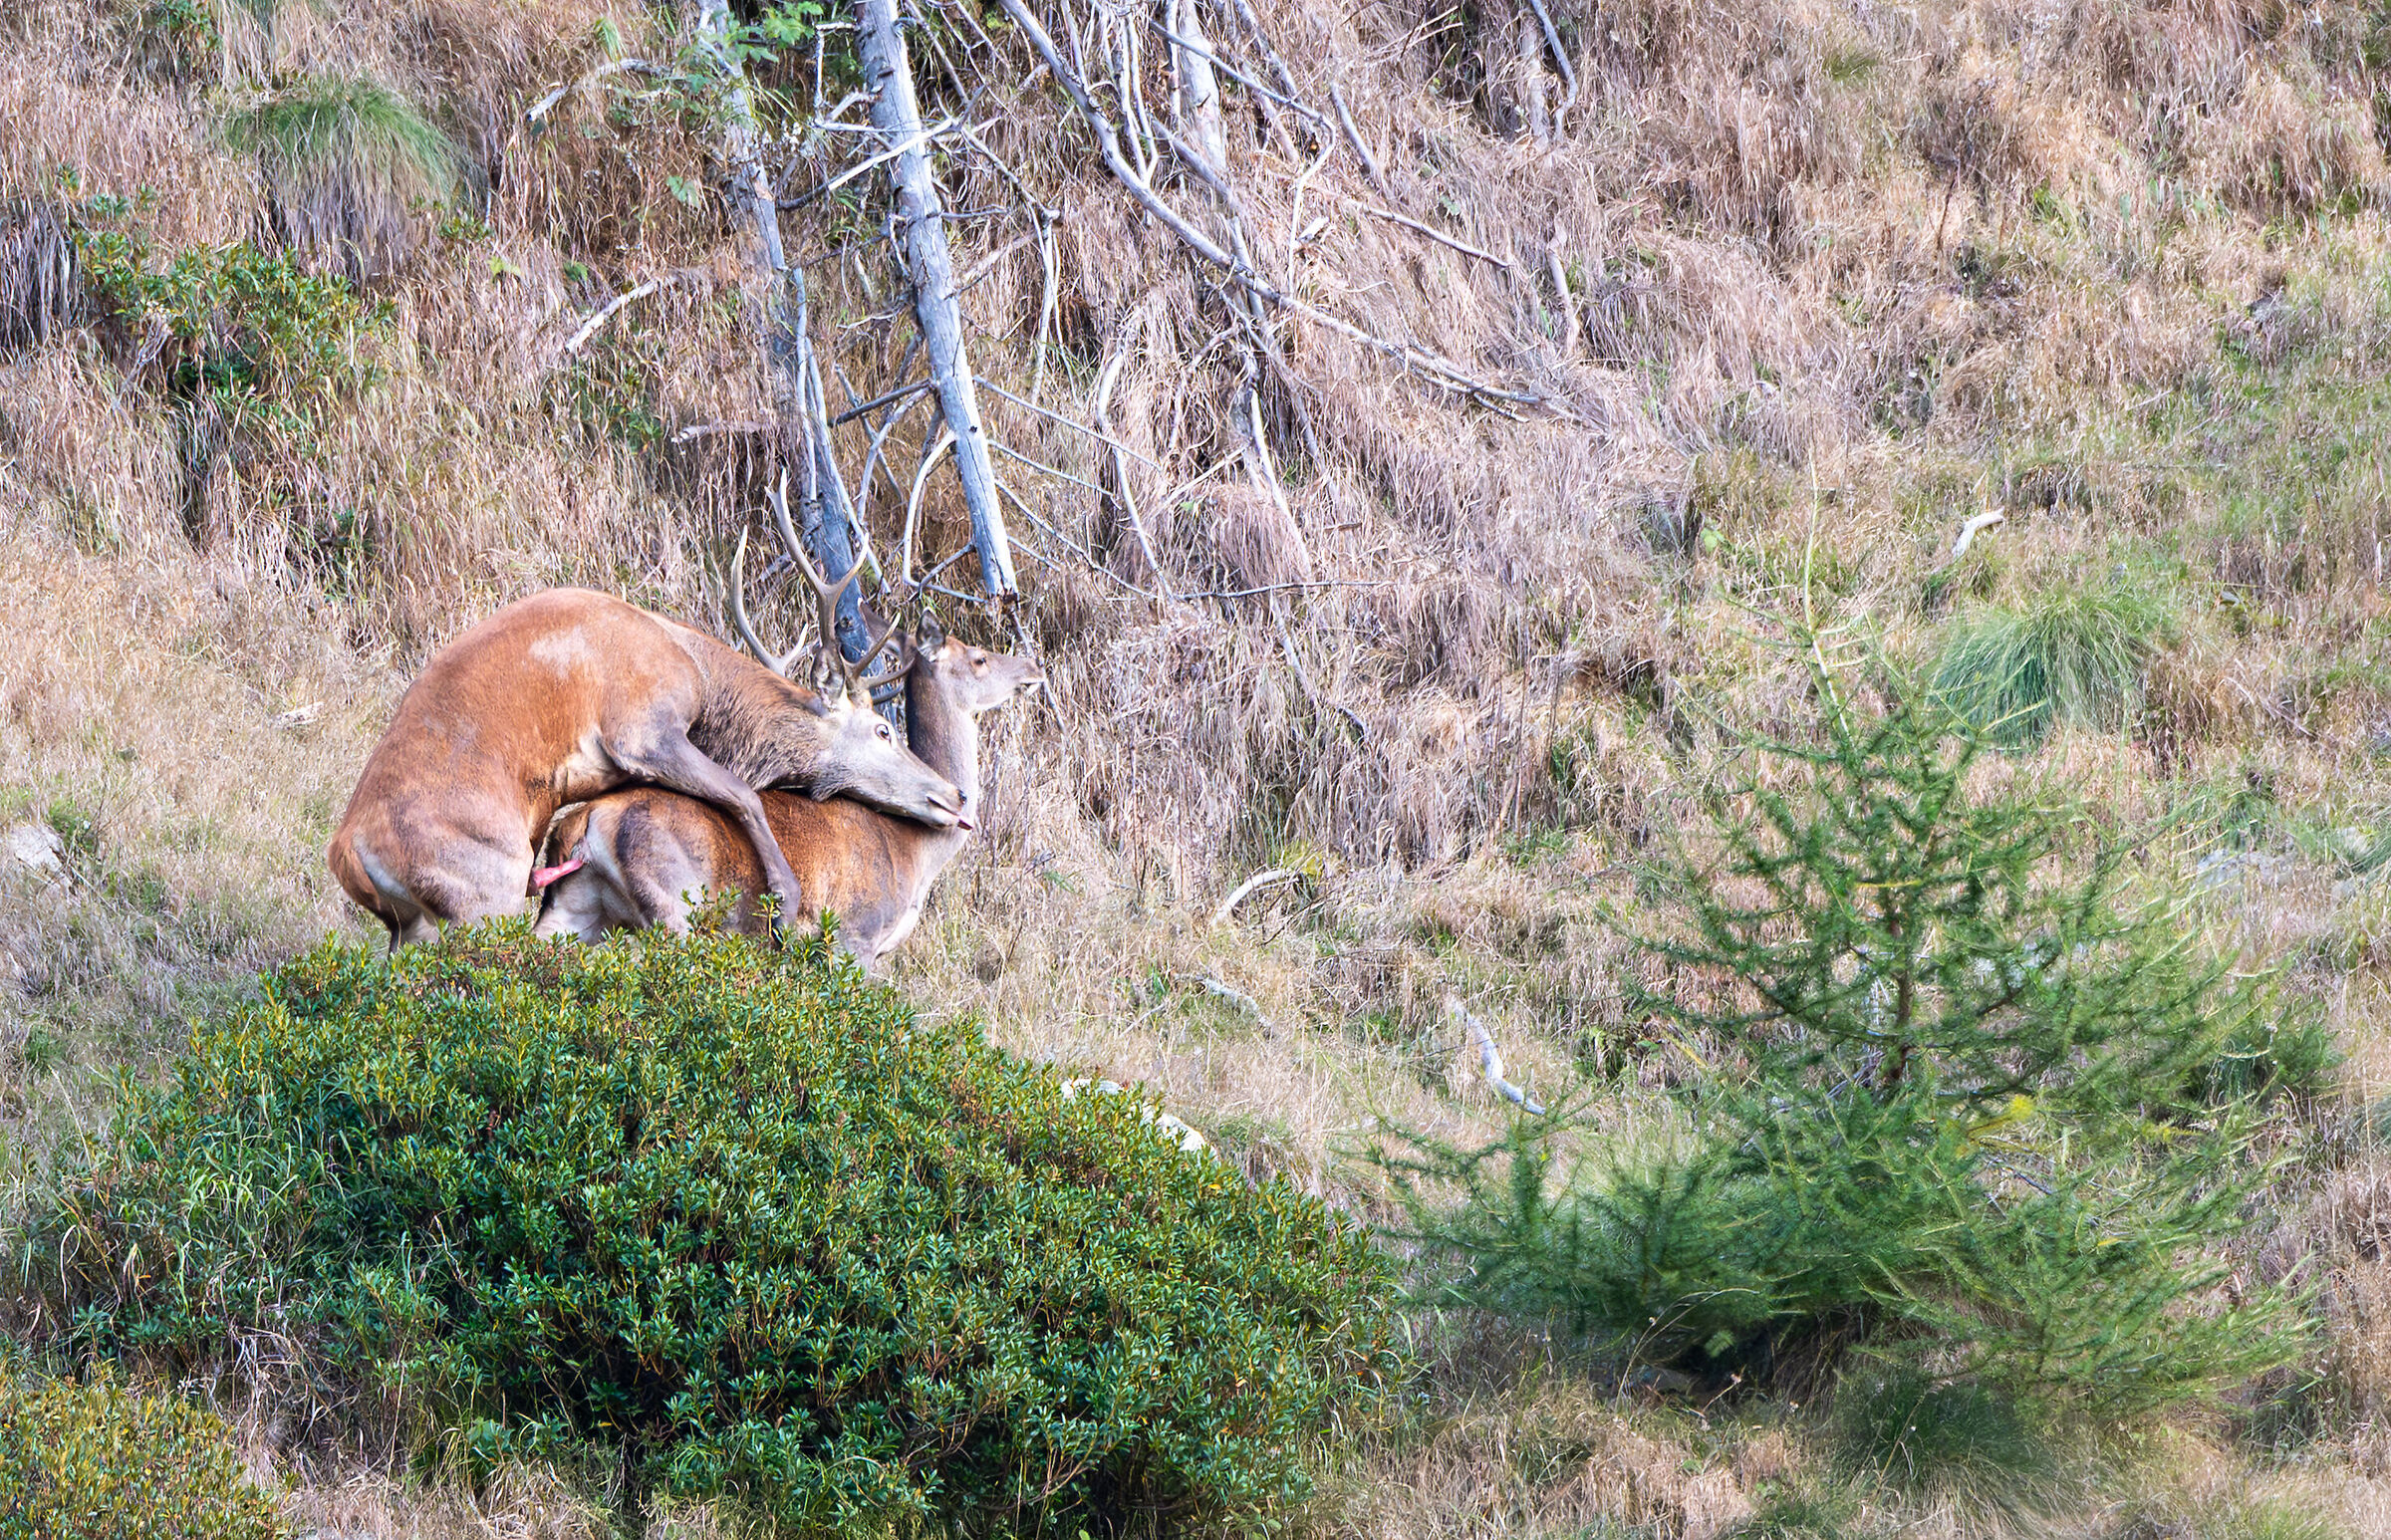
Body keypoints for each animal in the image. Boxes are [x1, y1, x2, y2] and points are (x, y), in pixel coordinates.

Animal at [328, 479, 962, 950]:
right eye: (883, 728)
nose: (951, 796)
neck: (700, 674)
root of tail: (347, 858)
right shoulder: (643, 729)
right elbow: (744, 795)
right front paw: (784, 903)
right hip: (483, 892)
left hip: (412, 926)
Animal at [532, 613, 1043, 970]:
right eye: (979, 656)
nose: (1033, 667)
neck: (915, 850)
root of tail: (588, 822)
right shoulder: (855, 934)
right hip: (674, 905)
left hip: (573, 910)